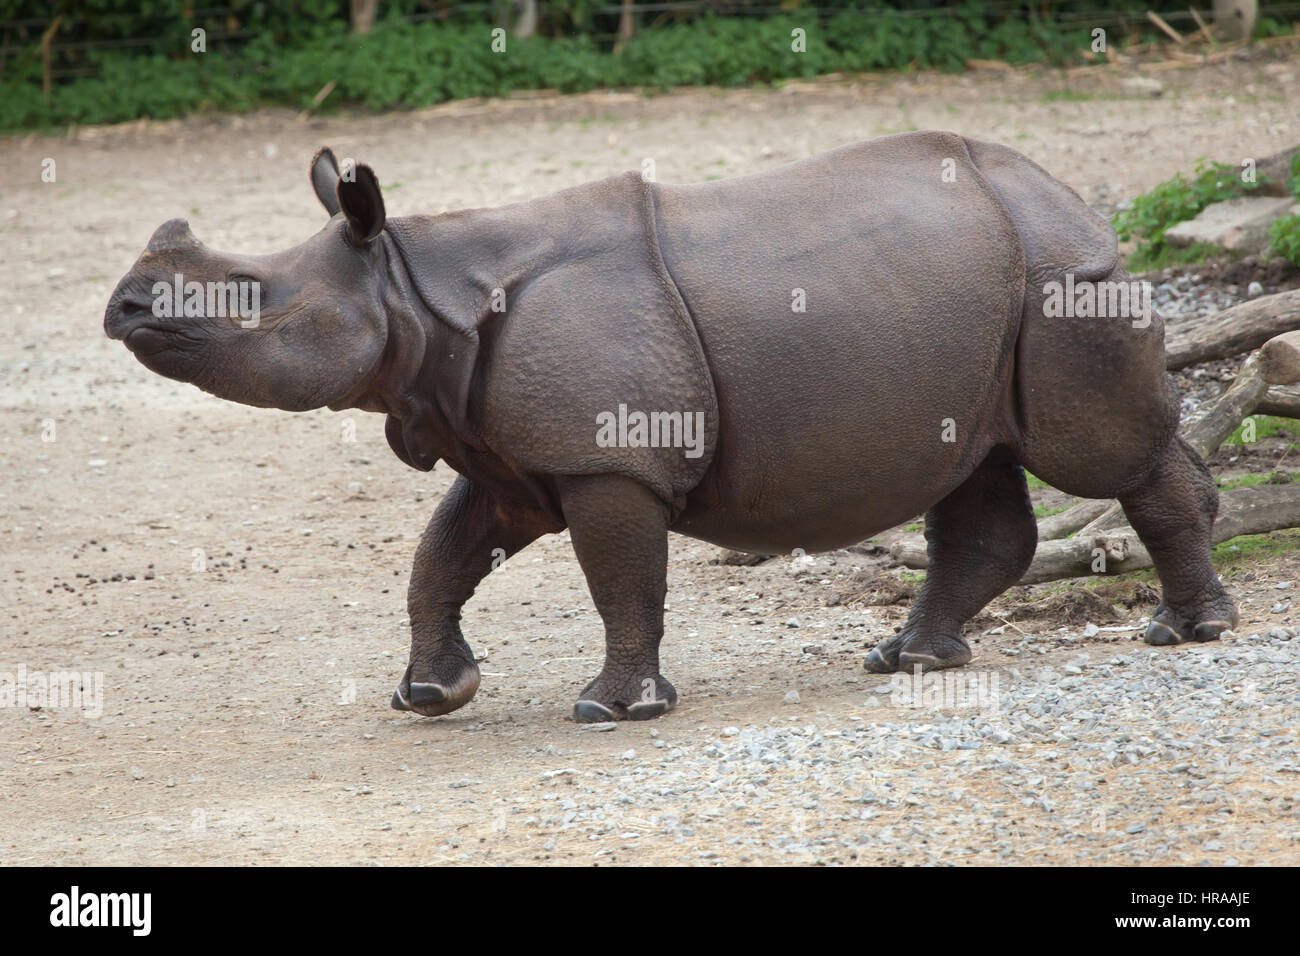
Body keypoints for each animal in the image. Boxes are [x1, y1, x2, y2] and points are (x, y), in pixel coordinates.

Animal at [104, 132, 1237, 722]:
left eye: (251, 296)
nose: (122, 307)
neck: (416, 291)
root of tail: (1071, 195)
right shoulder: (511, 453)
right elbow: (439, 556)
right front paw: (431, 693)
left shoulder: (605, 458)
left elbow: (619, 577)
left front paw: (613, 709)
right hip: (984, 289)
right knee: (977, 467)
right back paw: (906, 660)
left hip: (1060, 281)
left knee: (1097, 455)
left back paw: (1187, 635)